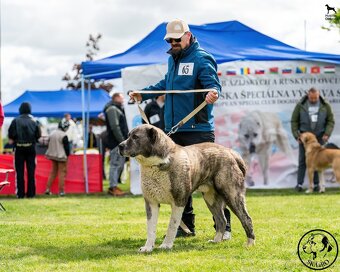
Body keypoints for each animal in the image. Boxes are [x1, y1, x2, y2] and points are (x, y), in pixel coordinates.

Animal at [118, 124, 254, 252]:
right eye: (128, 135)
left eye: (135, 137)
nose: (119, 146)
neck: (157, 164)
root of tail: (231, 152)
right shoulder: (151, 203)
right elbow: (151, 228)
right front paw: (147, 247)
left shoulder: (178, 202)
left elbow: (172, 225)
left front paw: (166, 245)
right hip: (211, 198)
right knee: (221, 220)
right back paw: (216, 241)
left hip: (232, 194)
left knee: (246, 218)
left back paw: (250, 243)